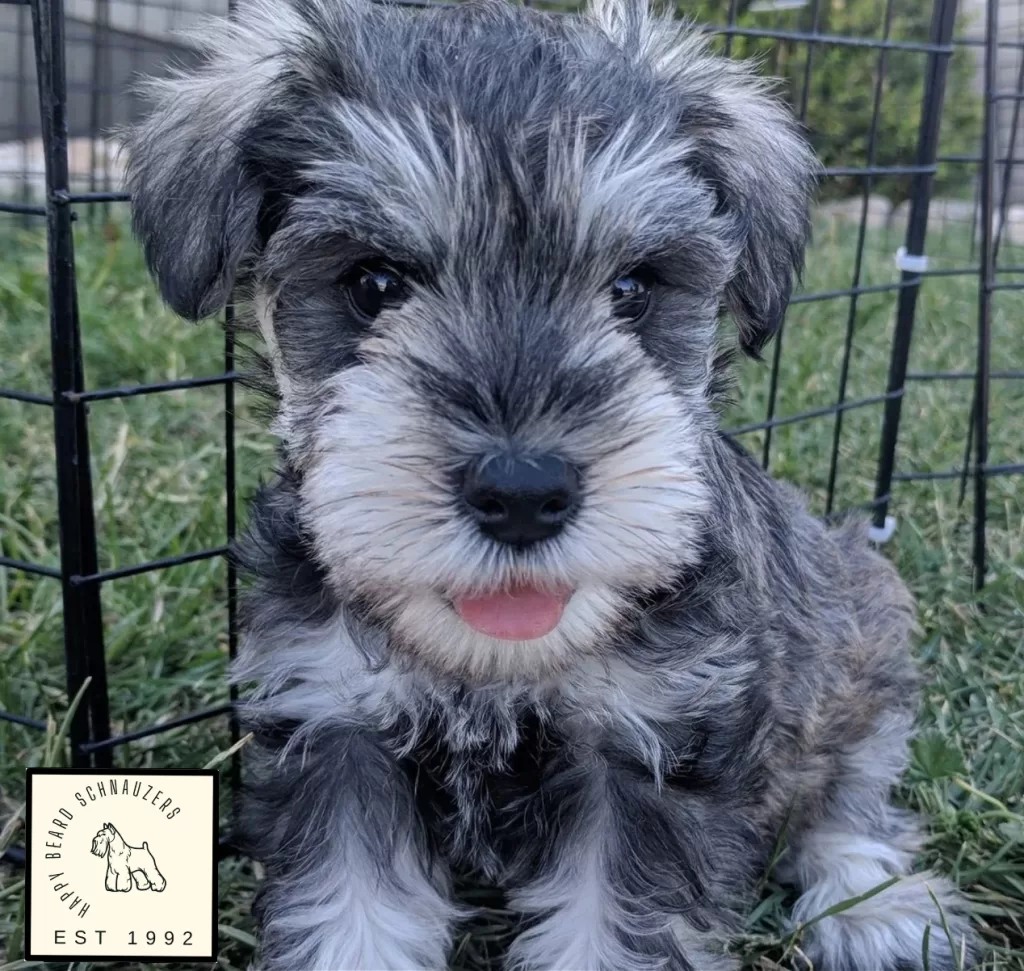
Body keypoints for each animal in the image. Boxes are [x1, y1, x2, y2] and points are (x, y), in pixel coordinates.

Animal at [123, 0, 978, 966]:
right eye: (372, 281)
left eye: (635, 287)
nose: (524, 492)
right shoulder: (336, 728)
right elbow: (352, 915)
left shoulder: (646, 752)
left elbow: (616, 926)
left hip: (858, 643)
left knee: (848, 796)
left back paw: (879, 909)